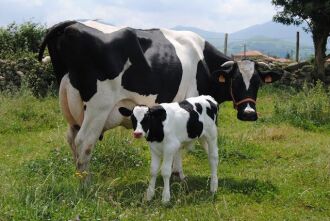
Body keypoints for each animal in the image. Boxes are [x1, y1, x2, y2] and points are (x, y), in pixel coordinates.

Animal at [38, 20, 282, 176]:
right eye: (235, 82)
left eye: (258, 83)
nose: (249, 114)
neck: (204, 63)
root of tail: (72, 24)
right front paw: (178, 175)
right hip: (99, 106)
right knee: (84, 142)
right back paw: (85, 185)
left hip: (72, 109)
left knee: (72, 139)